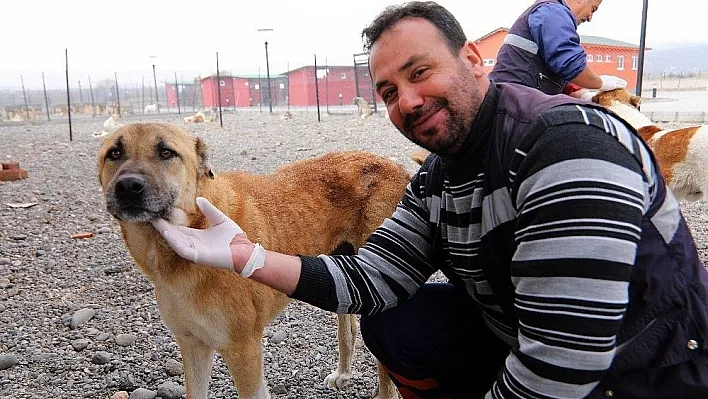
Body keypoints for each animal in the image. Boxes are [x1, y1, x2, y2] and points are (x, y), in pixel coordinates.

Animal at [97, 123, 406, 398]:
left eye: (166, 152)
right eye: (114, 153)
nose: (128, 186)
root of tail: (395, 167)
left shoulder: (243, 350)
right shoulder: (193, 345)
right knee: (348, 328)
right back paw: (343, 373)